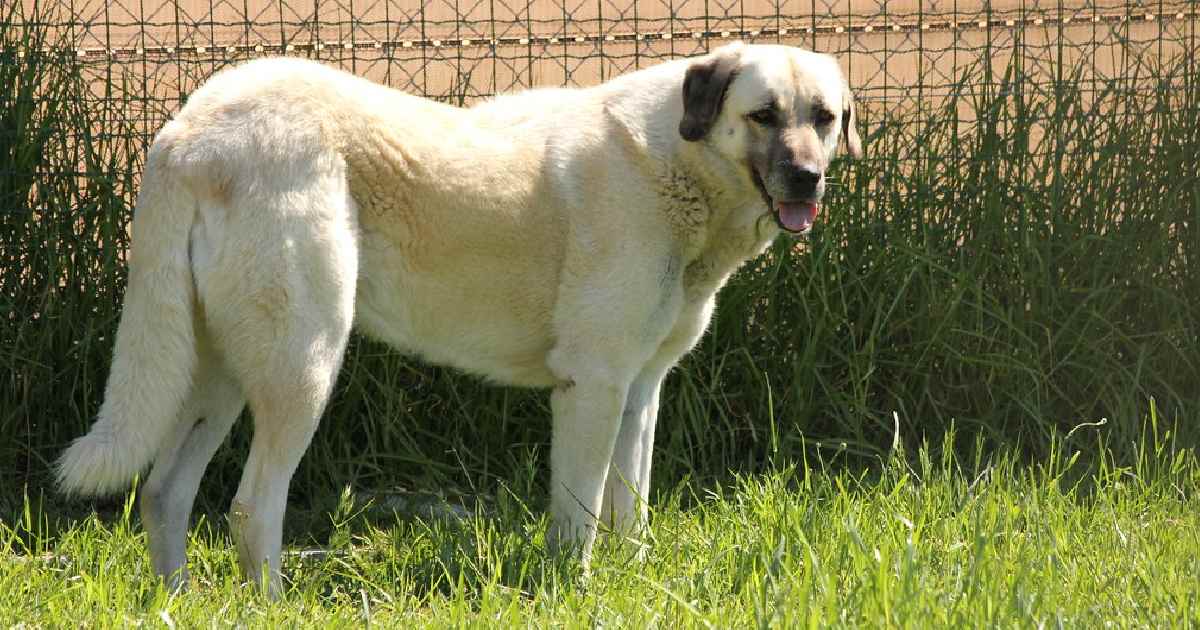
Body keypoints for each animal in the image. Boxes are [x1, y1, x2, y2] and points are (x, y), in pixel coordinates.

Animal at [56, 41, 864, 592]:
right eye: (762, 116)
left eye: (825, 119)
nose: (808, 178)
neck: (680, 164)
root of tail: (187, 128)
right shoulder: (593, 387)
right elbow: (578, 516)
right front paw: (575, 593)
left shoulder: (639, 391)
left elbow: (627, 510)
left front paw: (632, 583)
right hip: (304, 363)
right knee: (253, 507)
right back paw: (271, 605)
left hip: (221, 371)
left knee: (165, 493)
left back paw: (178, 602)